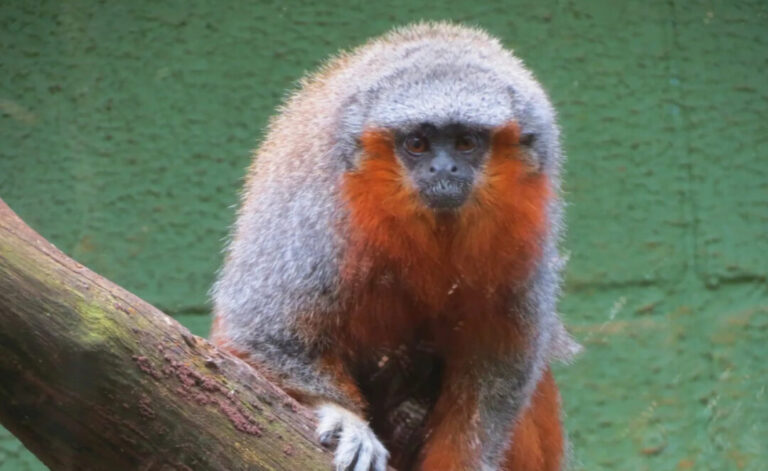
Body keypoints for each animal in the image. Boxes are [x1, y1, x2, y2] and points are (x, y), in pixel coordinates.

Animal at [211, 22, 580, 471]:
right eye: (418, 144)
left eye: (465, 143)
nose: (443, 168)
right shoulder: (320, 213)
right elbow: (259, 330)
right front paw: (342, 416)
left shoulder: (527, 227)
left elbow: (502, 362)